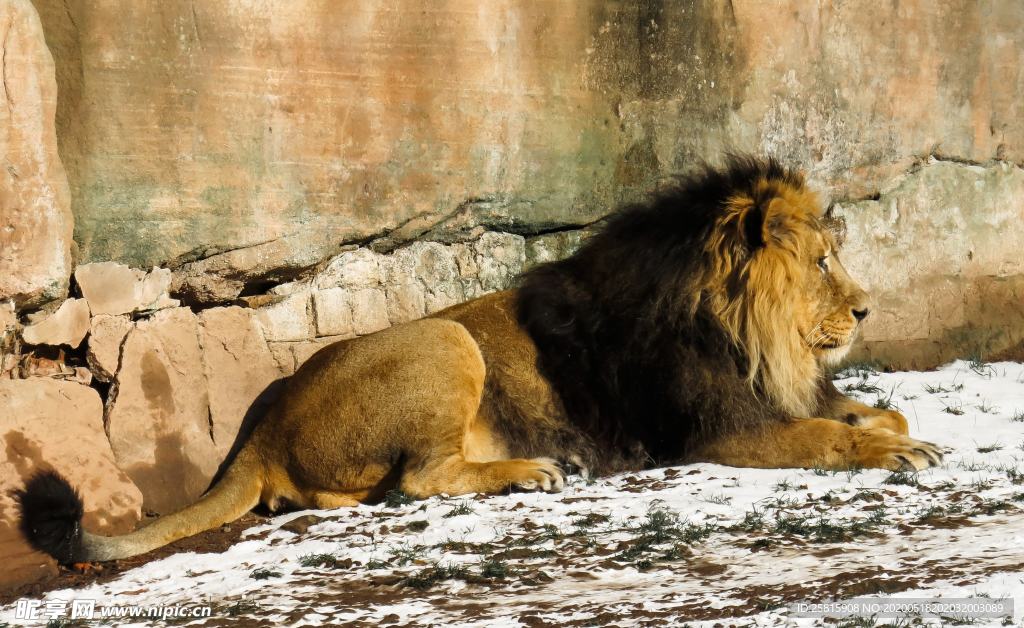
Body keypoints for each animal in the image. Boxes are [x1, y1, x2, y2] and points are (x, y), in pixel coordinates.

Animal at [18, 155, 942, 561]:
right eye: (821, 261)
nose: (866, 308)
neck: (745, 331)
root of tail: (262, 429)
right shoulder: (720, 432)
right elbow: (832, 436)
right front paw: (894, 450)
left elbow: (877, 408)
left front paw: (895, 429)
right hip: (447, 338)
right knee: (422, 479)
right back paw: (536, 470)